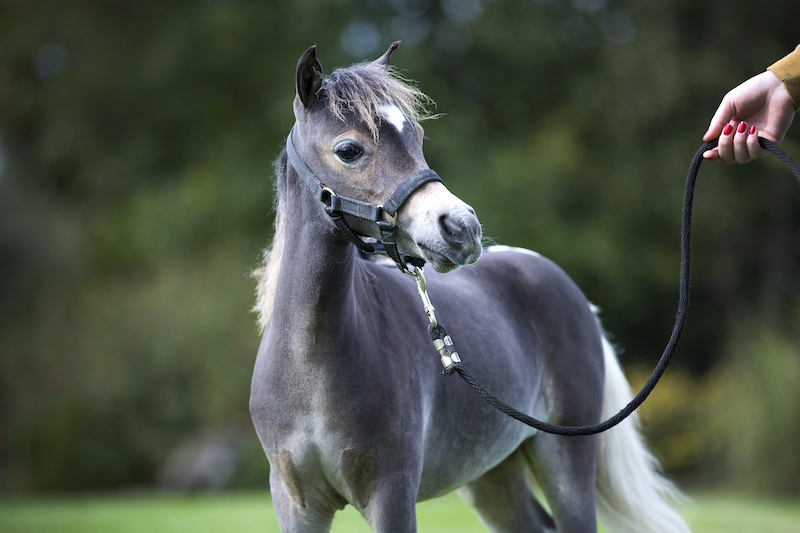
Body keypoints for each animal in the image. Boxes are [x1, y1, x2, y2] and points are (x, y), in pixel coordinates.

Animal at [249, 42, 690, 533]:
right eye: (348, 149)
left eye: (418, 137)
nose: (462, 228)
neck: (311, 365)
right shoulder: (297, 505)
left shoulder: (392, 496)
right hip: (494, 480)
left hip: (566, 462)